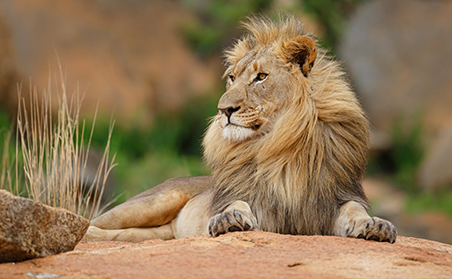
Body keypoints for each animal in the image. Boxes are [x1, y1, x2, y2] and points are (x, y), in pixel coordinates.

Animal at [83, 15, 398, 244]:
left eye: (261, 77)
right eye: (232, 78)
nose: (224, 110)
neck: (281, 145)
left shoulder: (333, 199)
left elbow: (355, 210)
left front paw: (376, 225)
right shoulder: (249, 197)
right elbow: (237, 203)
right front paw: (228, 219)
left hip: (158, 230)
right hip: (154, 201)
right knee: (94, 221)